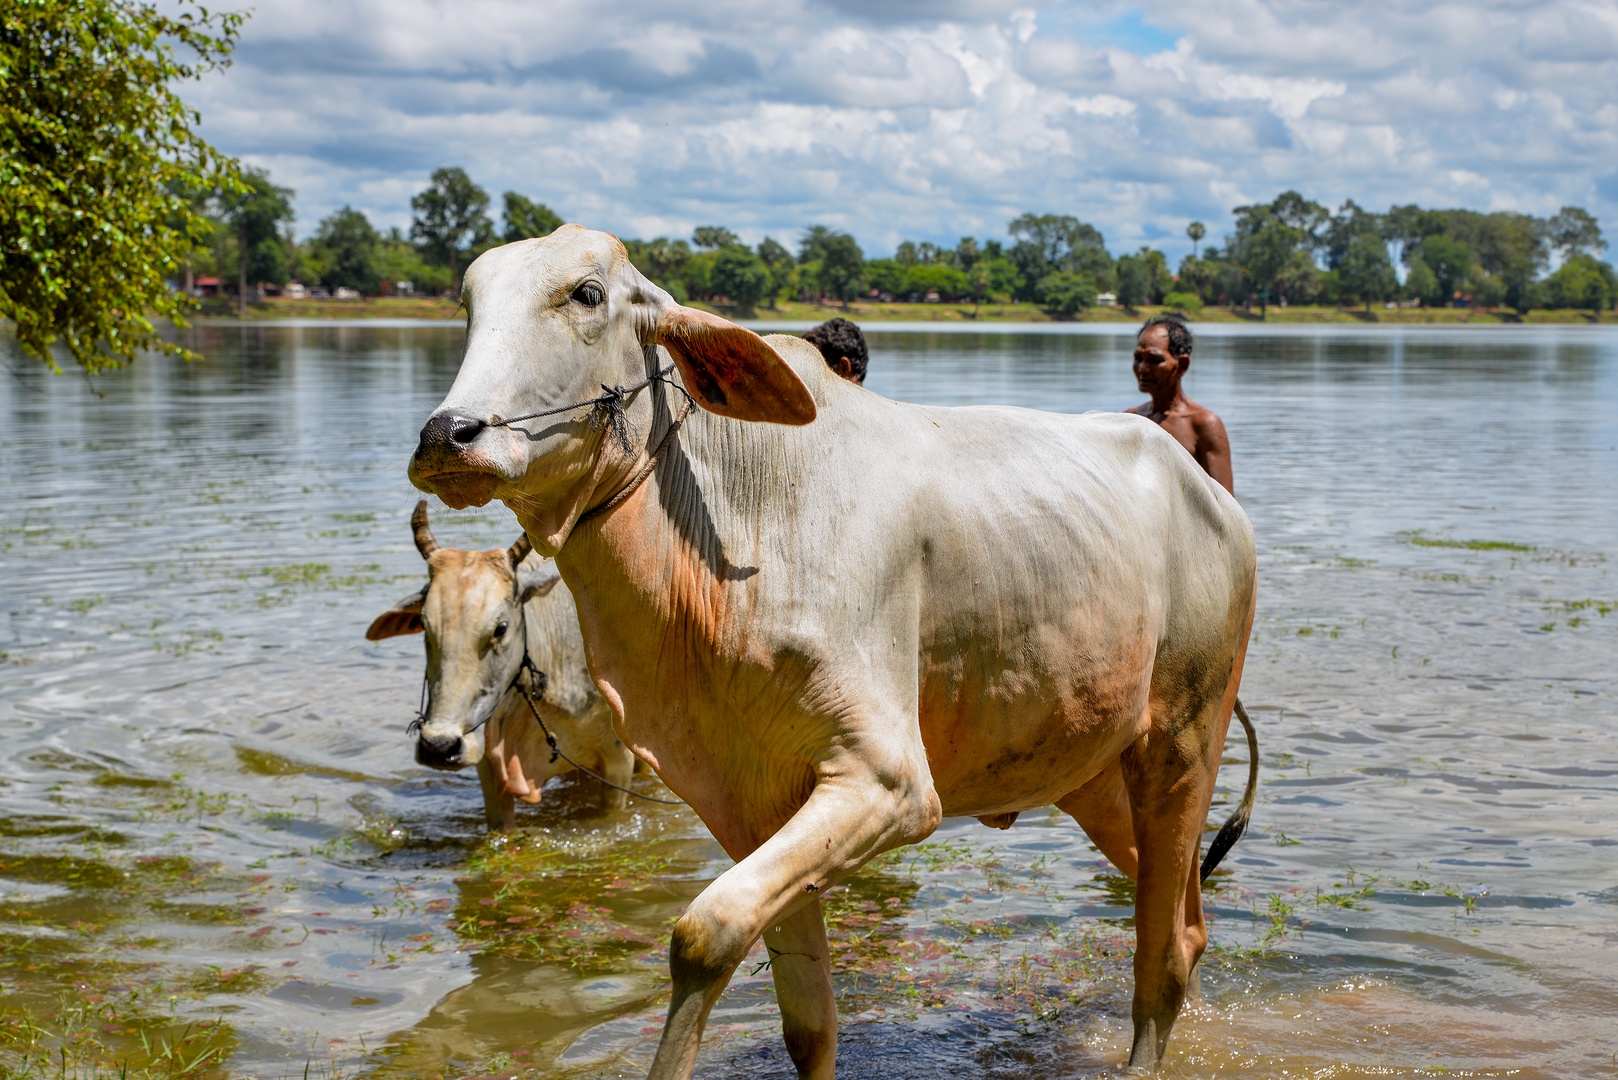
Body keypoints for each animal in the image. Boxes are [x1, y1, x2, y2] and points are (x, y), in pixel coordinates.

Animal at [407, 226, 1262, 1075]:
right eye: (469, 301)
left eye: (586, 294)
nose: (447, 435)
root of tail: (1216, 504)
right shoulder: (752, 803)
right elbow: (806, 1022)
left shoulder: (887, 782)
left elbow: (702, 934)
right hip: (1093, 773)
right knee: (1184, 921)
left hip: (1182, 745)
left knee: (1162, 955)